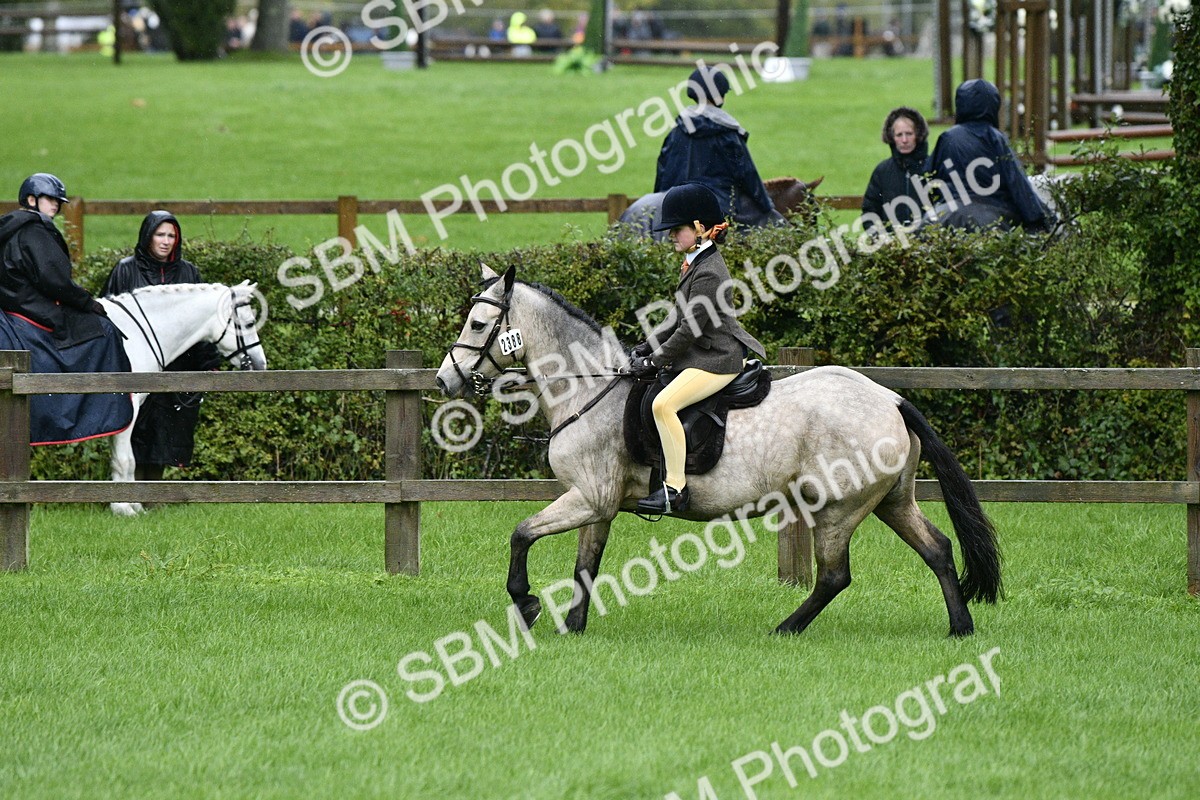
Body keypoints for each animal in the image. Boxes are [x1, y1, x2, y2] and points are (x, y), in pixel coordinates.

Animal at [99, 281, 267, 516]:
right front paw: (123, 507)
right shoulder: (126, 412)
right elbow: (125, 460)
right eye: (250, 323)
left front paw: (133, 505)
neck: (131, 334)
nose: (261, 364)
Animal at [436, 264, 1002, 637]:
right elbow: (585, 565)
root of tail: (891, 399)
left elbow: (521, 534)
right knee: (937, 549)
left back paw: (785, 628)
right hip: (889, 500)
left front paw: (526, 604)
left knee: (835, 575)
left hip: (837, 508)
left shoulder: (588, 497)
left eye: (479, 325)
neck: (589, 390)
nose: (445, 380)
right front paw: (573, 626)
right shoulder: (598, 502)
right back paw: (961, 627)